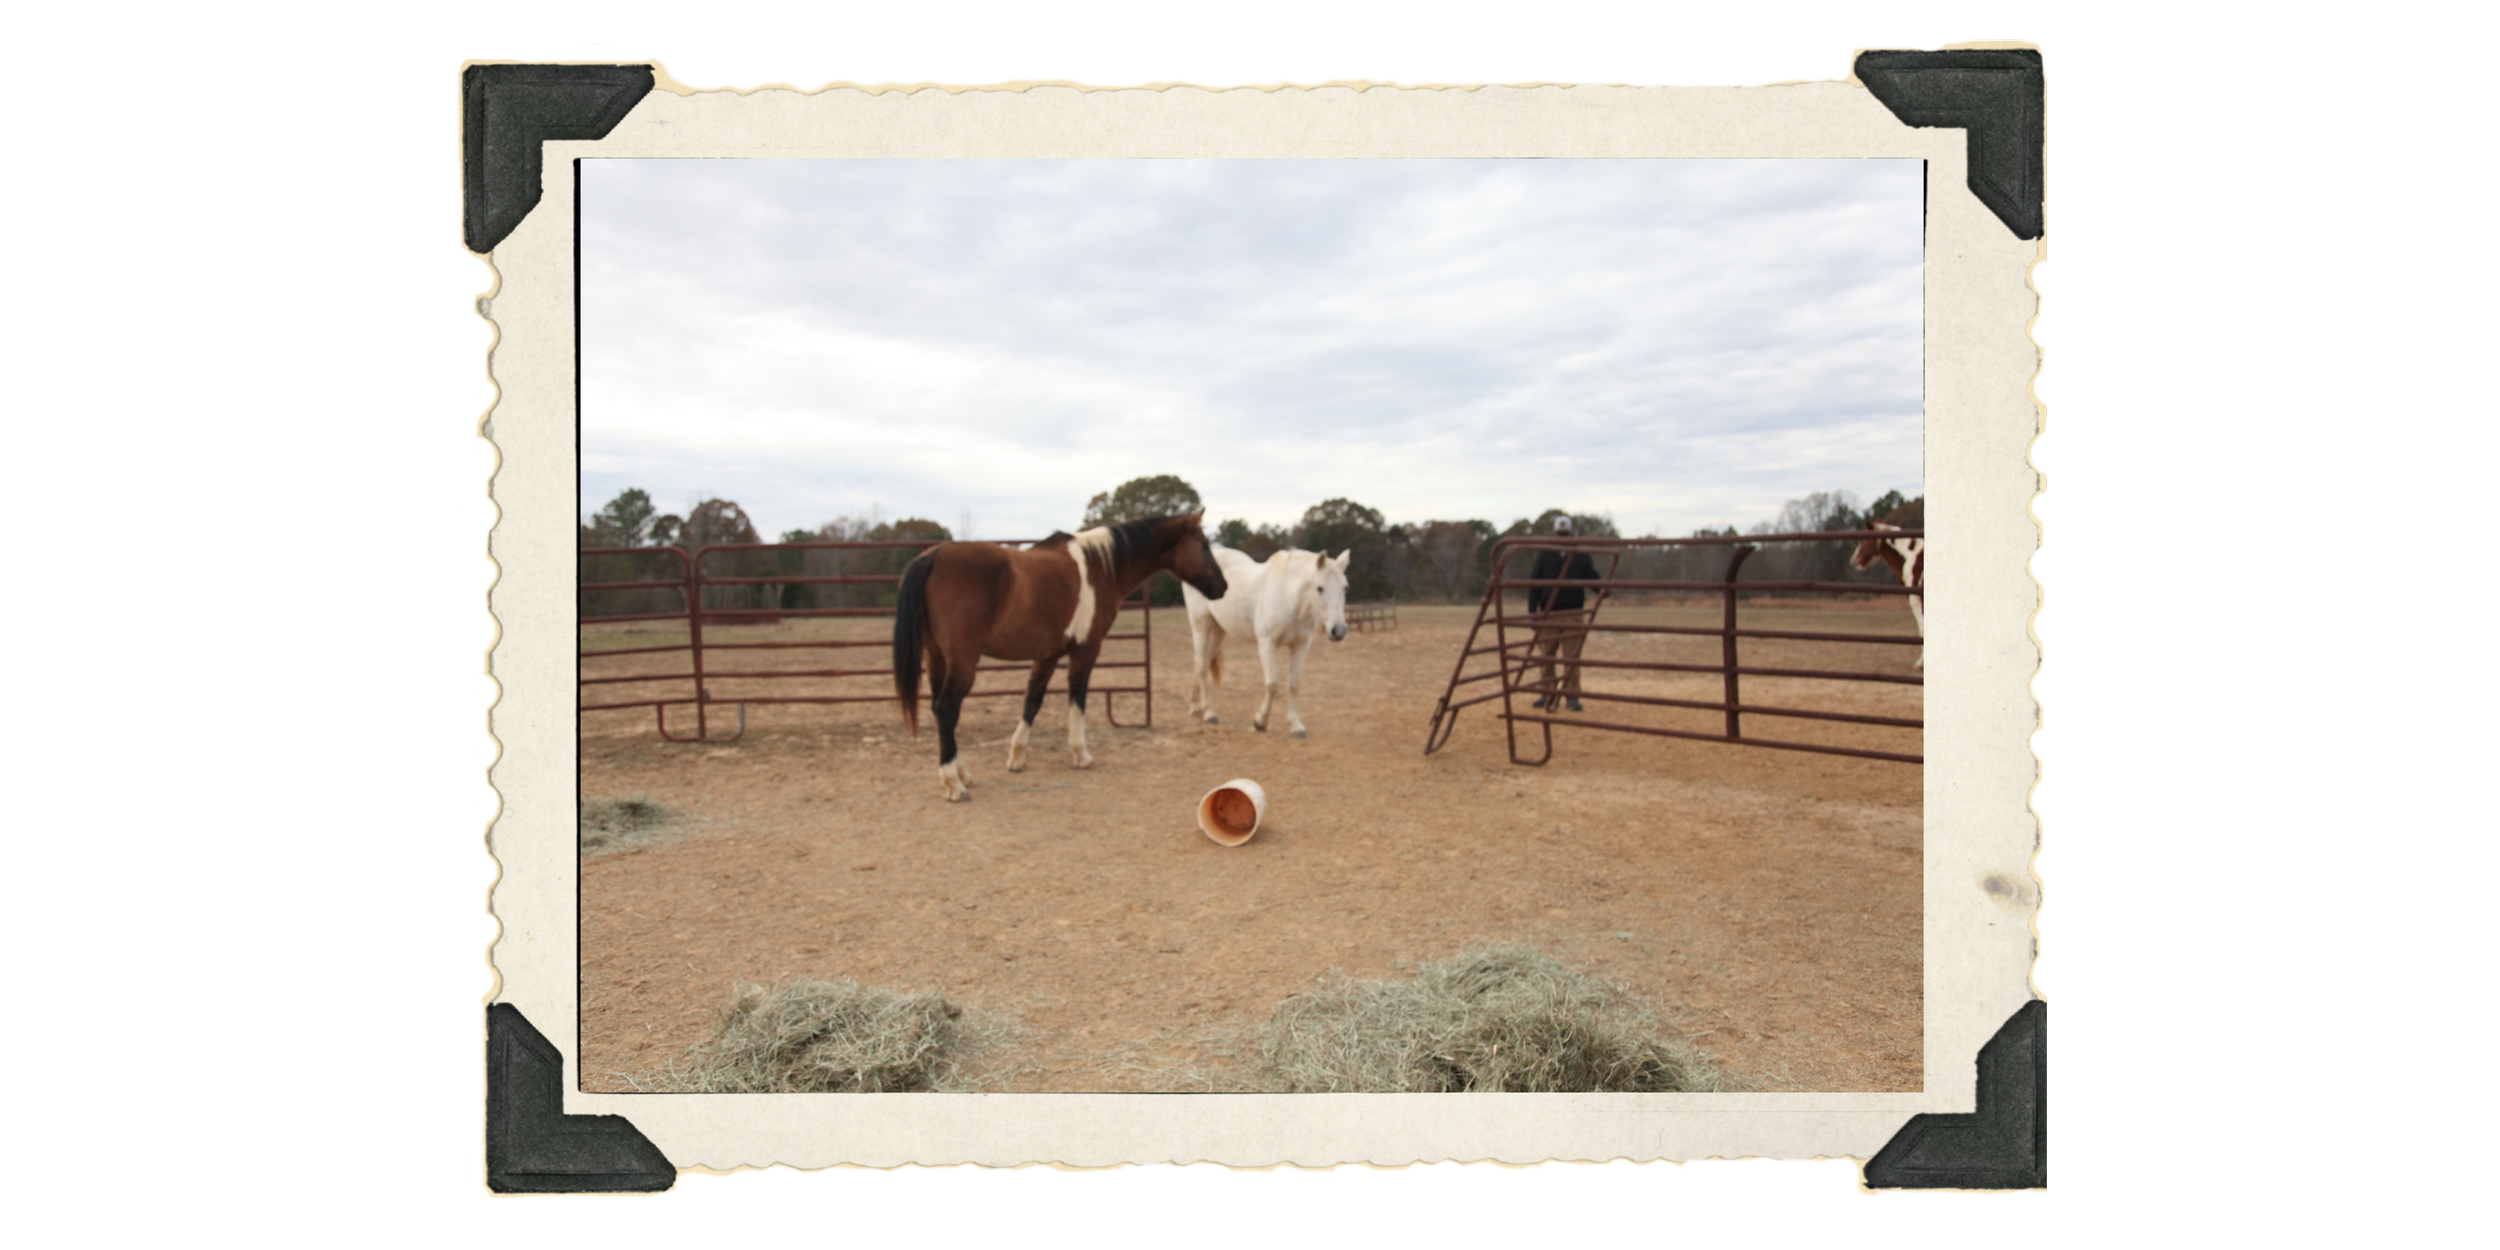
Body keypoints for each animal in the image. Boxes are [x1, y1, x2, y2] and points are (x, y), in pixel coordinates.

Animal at [893, 512, 1229, 802]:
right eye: (1204, 544)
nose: (1222, 587)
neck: (1100, 567)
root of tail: (932, 557)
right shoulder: (1086, 650)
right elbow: (1077, 699)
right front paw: (1081, 754)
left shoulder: (1048, 654)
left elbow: (1032, 700)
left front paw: (1017, 757)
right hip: (963, 661)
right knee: (947, 708)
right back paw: (953, 783)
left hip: (937, 658)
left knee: (940, 711)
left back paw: (962, 773)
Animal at [1179, 546, 1351, 739]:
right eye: (1319, 588)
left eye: (1345, 588)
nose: (1339, 630)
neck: (1288, 597)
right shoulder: (1267, 643)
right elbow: (1273, 684)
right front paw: (1260, 722)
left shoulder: (1301, 644)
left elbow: (1294, 684)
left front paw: (1296, 726)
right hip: (1201, 626)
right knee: (1202, 665)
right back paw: (1210, 714)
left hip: (1219, 630)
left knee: (1202, 662)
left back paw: (1196, 707)